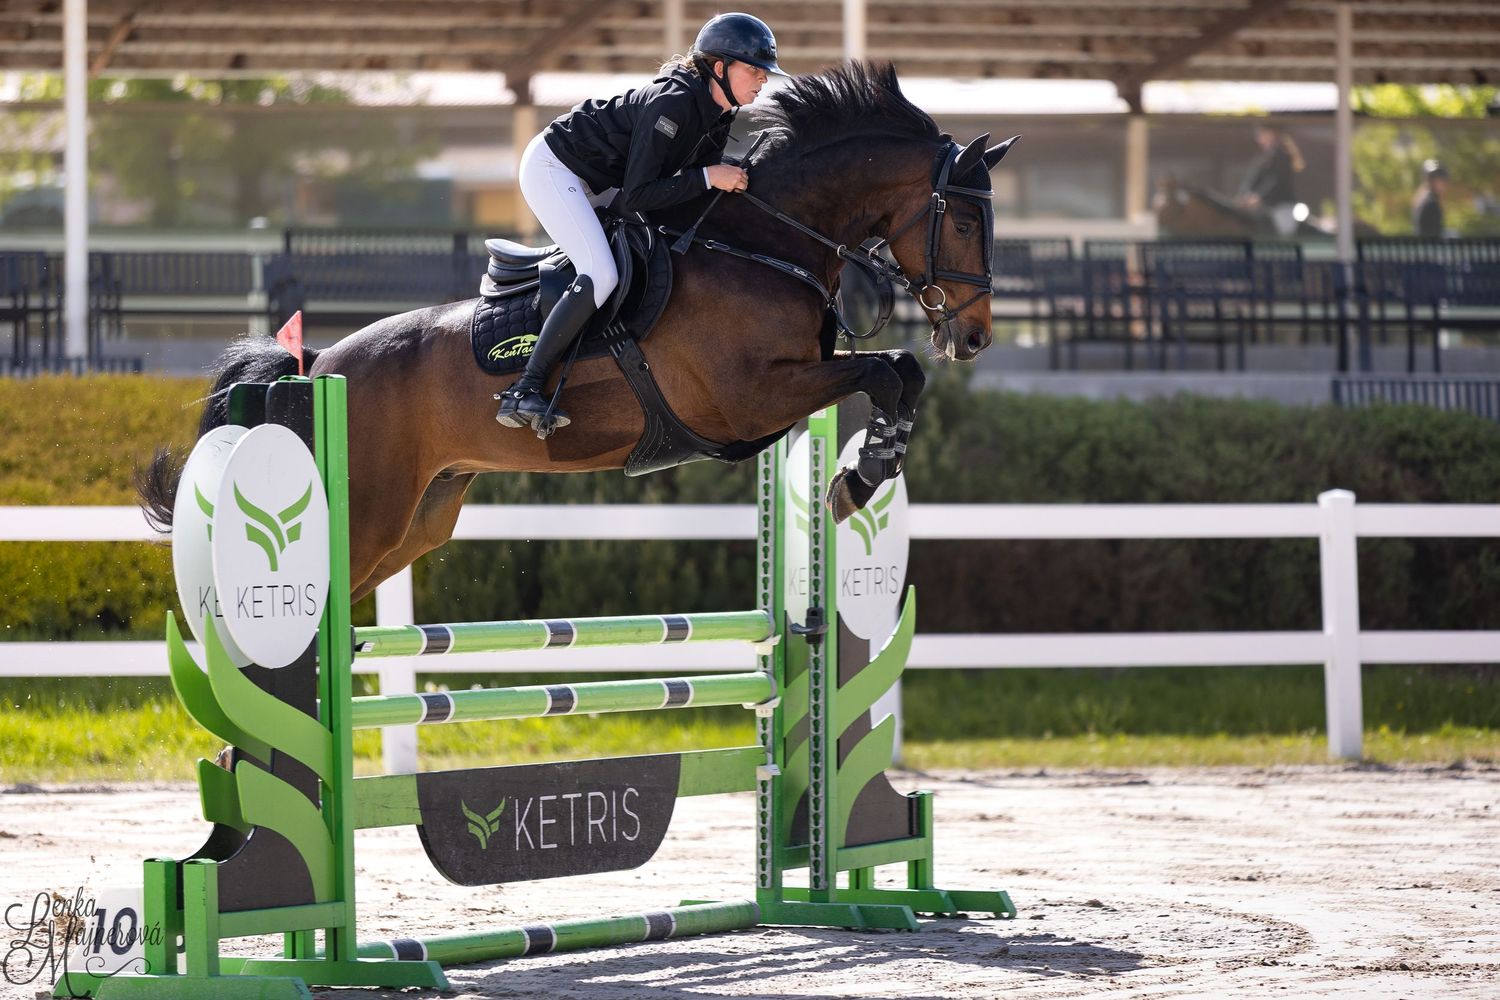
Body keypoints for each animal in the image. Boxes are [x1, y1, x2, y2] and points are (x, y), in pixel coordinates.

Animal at [139, 62, 1012, 603]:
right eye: (967, 220)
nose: (975, 339)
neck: (762, 241)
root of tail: (317, 364)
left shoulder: (779, 392)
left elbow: (899, 372)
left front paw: (871, 467)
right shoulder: (749, 397)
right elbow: (887, 367)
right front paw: (861, 478)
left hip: (418, 520)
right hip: (369, 513)